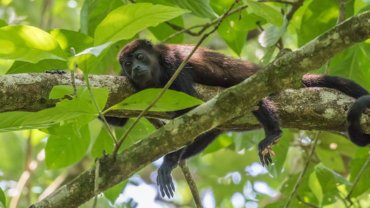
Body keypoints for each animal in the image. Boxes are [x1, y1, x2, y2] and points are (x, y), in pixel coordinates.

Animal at [105, 39, 370, 198]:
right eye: (127, 63)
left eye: (140, 57)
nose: (134, 68)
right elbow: (117, 119)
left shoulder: (174, 67)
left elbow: (193, 113)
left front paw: (168, 162)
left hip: (259, 80)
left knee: (251, 94)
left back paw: (273, 132)